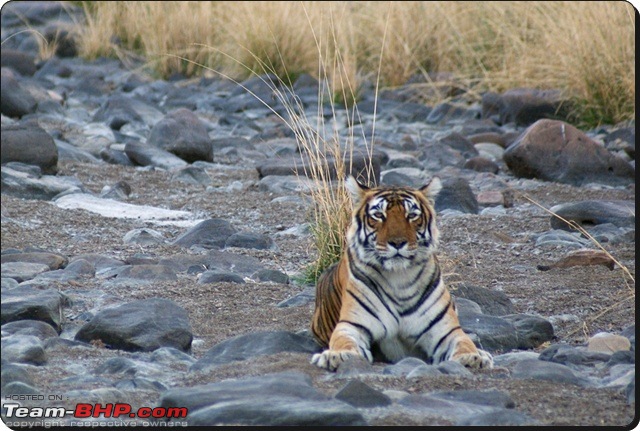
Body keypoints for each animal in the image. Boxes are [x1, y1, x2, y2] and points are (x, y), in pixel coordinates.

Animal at [310, 176, 496, 372]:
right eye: (379, 215)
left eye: (412, 215)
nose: (398, 243)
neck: (399, 278)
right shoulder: (353, 325)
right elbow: (343, 341)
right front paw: (337, 355)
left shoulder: (446, 331)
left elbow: (464, 342)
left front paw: (473, 357)